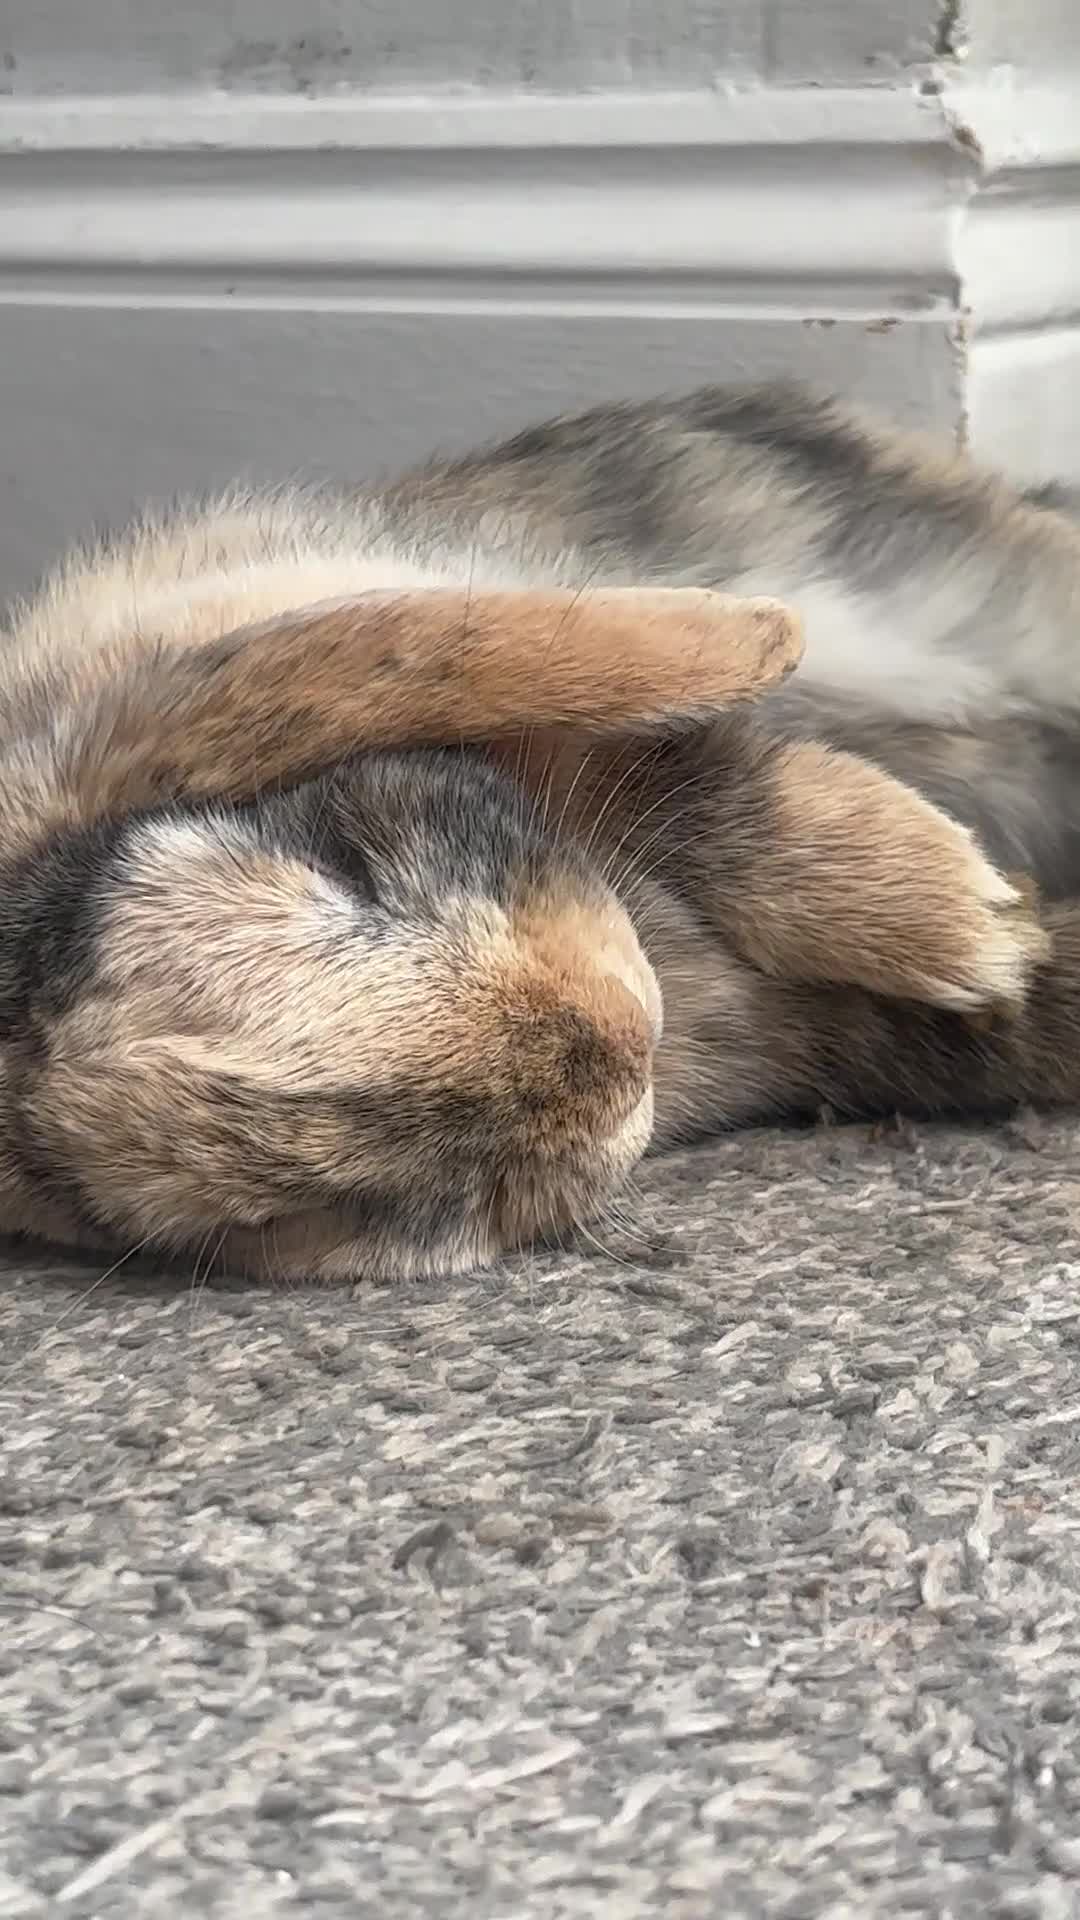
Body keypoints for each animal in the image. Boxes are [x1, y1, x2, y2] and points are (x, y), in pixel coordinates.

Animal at [0, 380, 1076, 1282]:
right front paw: (1009, 954)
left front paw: (968, 930)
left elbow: (689, 780)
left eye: (347, 864)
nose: (621, 1051)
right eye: (282, 1215)